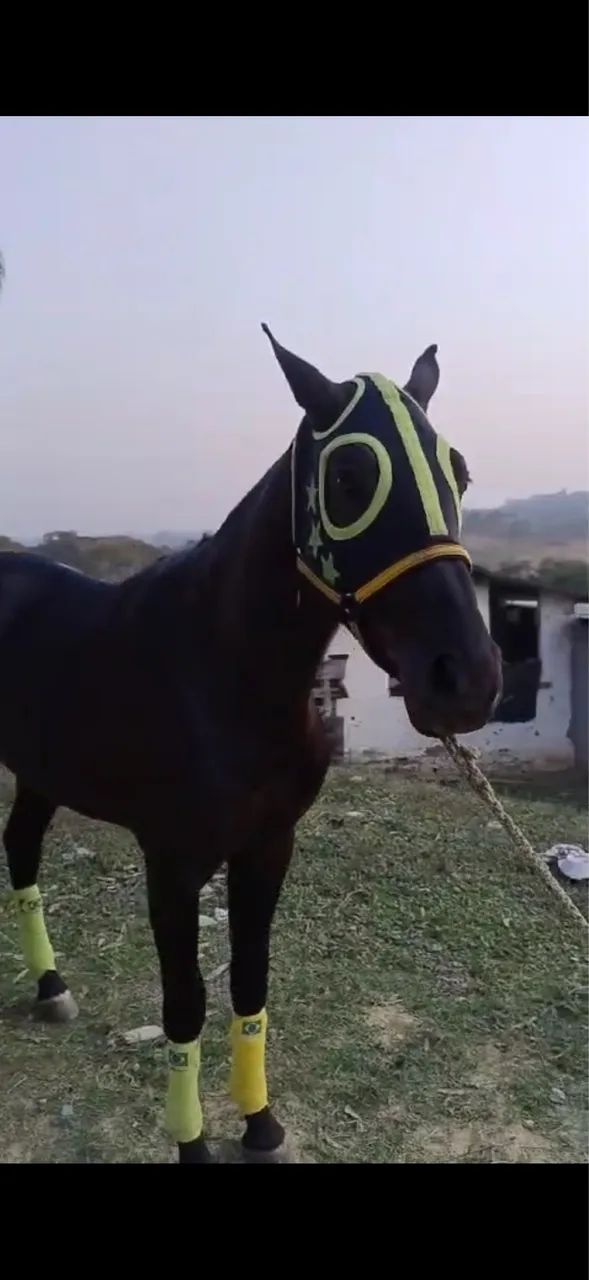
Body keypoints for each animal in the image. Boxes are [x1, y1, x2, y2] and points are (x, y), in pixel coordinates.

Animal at [1, 328, 502, 1163]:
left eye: (457, 471)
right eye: (349, 476)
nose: (466, 679)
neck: (220, 671)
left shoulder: (268, 846)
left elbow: (249, 980)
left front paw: (260, 1123)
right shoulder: (171, 865)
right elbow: (184, 1002)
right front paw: (192, 1142)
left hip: (43, 772)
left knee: (21, 848)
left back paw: (51, 987)